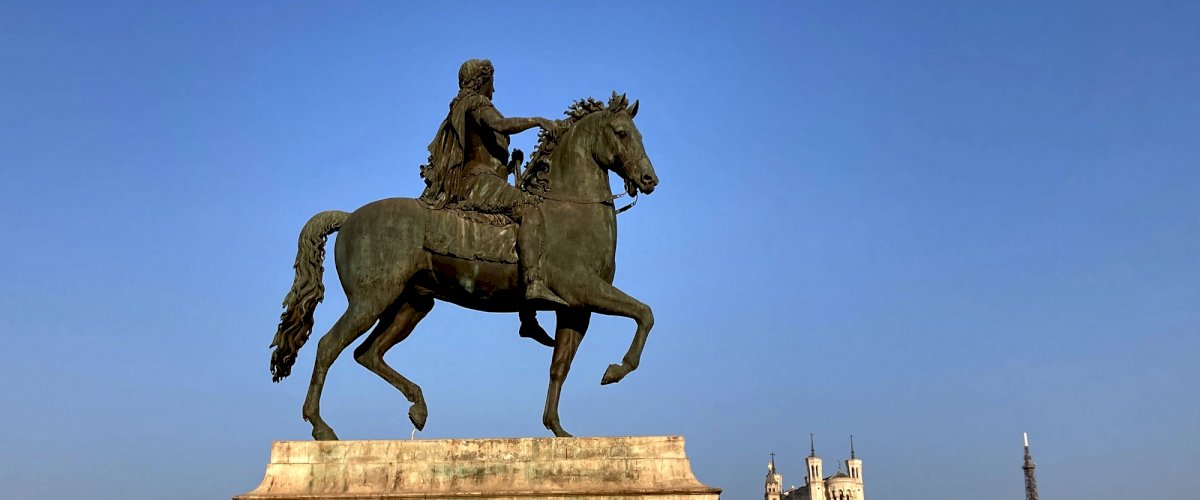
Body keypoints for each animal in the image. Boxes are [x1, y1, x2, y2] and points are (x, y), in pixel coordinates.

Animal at [270, 92, 657, 436]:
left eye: (639, 134)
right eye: (621, 132)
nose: (649, 180)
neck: (570, 208)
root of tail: (349, 217)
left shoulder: (576, 309)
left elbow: (559, 367)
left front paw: (558, 429)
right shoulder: (584, 290)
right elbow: (644, 313)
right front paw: (616, 370)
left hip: (410, 304)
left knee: (368, 354)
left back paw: (418, 408)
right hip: (371, 300)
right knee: (328, 346)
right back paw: (321, 428)